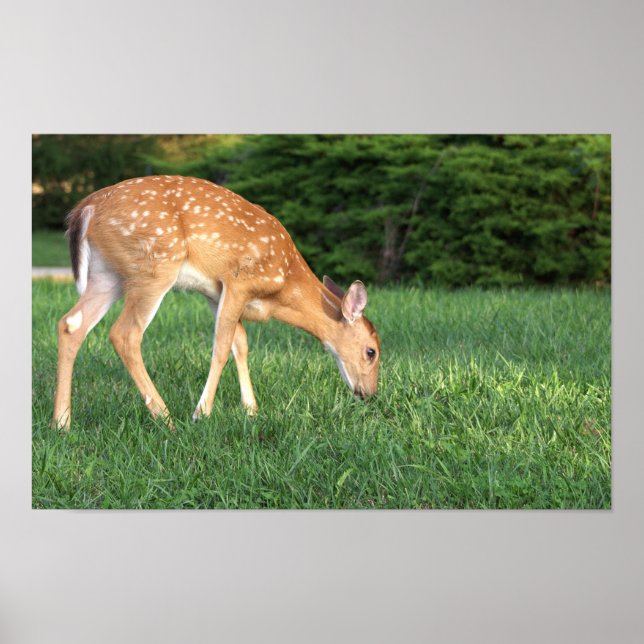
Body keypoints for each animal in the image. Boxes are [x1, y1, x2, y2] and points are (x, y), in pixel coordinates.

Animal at [52, 175, 380, 430]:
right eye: (371, 352)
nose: (370, 394)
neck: (284, 286)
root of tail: (86, 209)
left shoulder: (214, 292)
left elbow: (240, 344)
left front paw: (251, 410)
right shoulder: (239, 280)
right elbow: (222, 347)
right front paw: (202, 413)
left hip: (107, 274)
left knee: (71, 324)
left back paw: (62, 423)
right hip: (155, 266)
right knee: (125, 334)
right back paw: (166, 418)